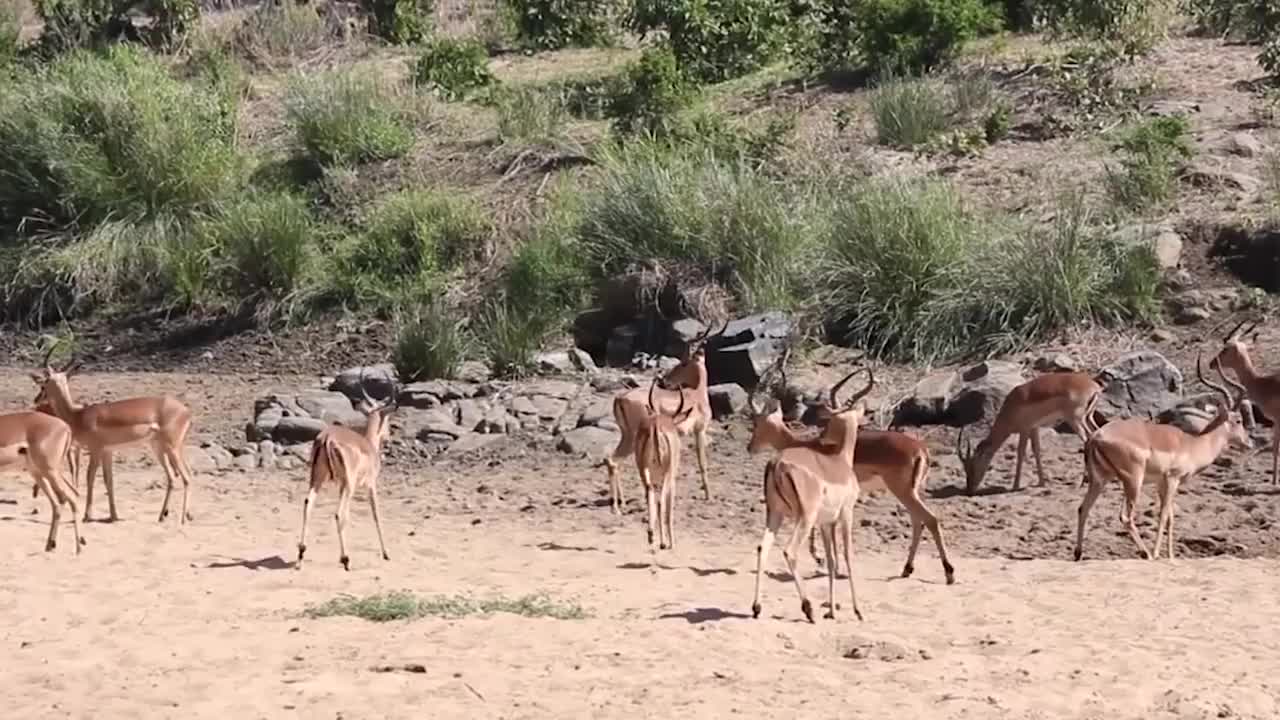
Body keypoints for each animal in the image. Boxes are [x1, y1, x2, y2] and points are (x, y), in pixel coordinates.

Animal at [30, 348, 197, 520]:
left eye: (44, 384)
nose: (36, 399)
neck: (78, 416)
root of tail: (186, 411)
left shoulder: (95, 450)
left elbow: (90, 477)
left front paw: (87, 515)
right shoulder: (107, 452)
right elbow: (108, 480)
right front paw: (113, 515)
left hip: (171, 447)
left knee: (186, 477)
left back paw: (182, 519)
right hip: (159, 448)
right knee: (175, 477)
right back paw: (163, 516)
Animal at [296, 371, 396, 568]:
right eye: (387, 419)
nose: (388, 436)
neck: (369, 445)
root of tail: (326, 438)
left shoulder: (341, 485)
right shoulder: (370, 485)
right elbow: (376, 514)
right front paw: (386, 553)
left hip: (317, 479)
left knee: (308, 503)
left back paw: (302, 553)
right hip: (348, 486)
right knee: (339, 513)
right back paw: (346, 559)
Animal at [601, 315, 732, 509]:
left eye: (683, 362)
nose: (665, 379)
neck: (697, 395)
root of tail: (620, 398)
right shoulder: (699, 430)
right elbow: (702, 463)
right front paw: (709, 496)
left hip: (628, 435)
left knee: (612, 460)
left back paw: (621, 502)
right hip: (636, 437)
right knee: (618, 462)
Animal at [752, 361, 875, 620]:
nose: (822, 437)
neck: (840, 460)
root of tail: (777, 462)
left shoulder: (825, 523)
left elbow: (831, 559)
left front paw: (833, 610)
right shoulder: (846, 515)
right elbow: (847, 556)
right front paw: (857, 610)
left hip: (776, 514)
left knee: (762, 547)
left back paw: (757, 607)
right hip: (804, 518)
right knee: (789, 551)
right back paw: (808, 608)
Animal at [1075, 348, 1254, 561]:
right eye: (1238, 420)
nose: (1249, 443)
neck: (1193, 444)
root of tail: (1095, 437)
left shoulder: (1162, 484)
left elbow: (1170, 518)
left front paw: (1171, 556)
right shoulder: (1172, 480)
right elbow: (1162, 517)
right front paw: (1157, 553)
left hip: (1101, 480)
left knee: (1083, 508)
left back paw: (1078, 555)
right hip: (1133, 481)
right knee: (1126, 517)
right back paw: (1147, 554)